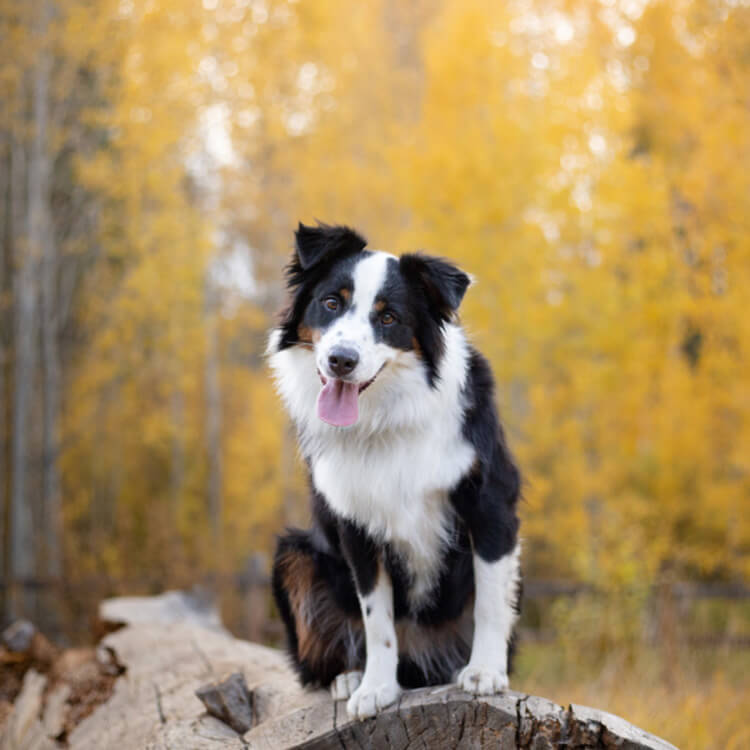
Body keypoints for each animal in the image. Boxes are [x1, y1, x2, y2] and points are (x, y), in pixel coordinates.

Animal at [270, 225, 524, 724]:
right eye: (331, 302)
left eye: (388, 318)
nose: (341, 360)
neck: (385, 417)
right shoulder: (354, 523)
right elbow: (377, 619)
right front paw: (376, 689)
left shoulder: (490, 504)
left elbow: (489, 601)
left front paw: (485, 671)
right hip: (294, 553)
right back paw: (349, 677)